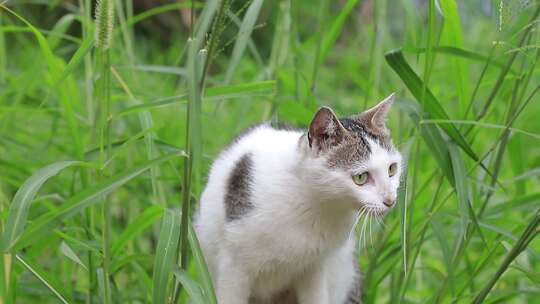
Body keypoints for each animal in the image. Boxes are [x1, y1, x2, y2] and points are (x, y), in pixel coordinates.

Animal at [194, 94, 400, 302]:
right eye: (361, 177)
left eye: (392, 169)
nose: (390, 200)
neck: (314, 204)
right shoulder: (233, 268)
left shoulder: (315, 268)